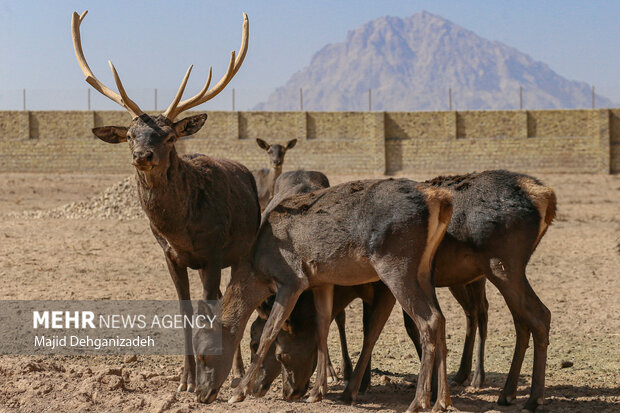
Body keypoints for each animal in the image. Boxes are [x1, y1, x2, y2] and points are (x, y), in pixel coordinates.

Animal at [71, 8, 258, 390]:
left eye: (170, 136)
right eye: (130, 134)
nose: (143, 155)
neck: (180, 228)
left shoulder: (213, 249)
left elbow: (208, 308)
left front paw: (205, 376)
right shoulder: (171, 255)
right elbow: (184, 311)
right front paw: (185, 379)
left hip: (242, 249)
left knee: (231, 297)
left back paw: (238, 372)